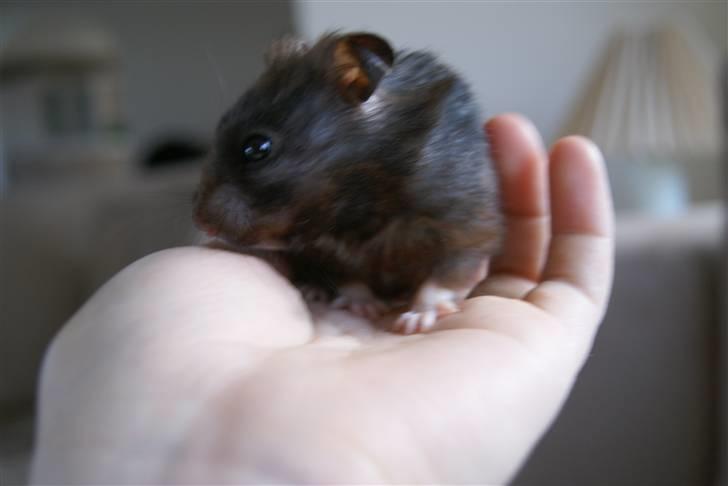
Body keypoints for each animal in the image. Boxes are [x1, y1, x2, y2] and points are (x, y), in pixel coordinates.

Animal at [194, 32, 503, 334]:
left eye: (257, 147)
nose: (202, 224)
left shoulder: (465, 224)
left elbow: (447, 276)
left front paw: (416, 319)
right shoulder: (326, 251)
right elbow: (349, 278)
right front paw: (366, 307)